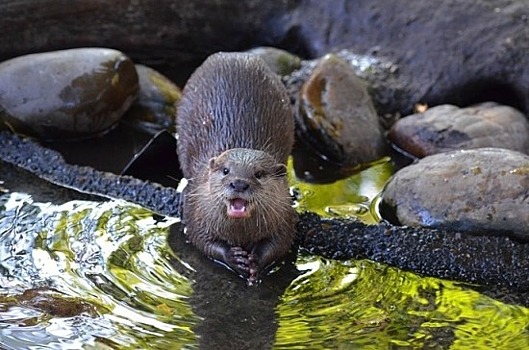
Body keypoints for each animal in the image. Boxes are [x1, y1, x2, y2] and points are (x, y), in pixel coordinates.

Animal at [176, 52, 296, 284]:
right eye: (225, 170)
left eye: (259, 173)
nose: (239, 183)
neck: (241, 234)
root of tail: (235, 55)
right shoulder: (197, 210)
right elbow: (200, 239)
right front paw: (233, 258)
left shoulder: (284, 214)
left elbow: (280, 243)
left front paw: (256, 261)